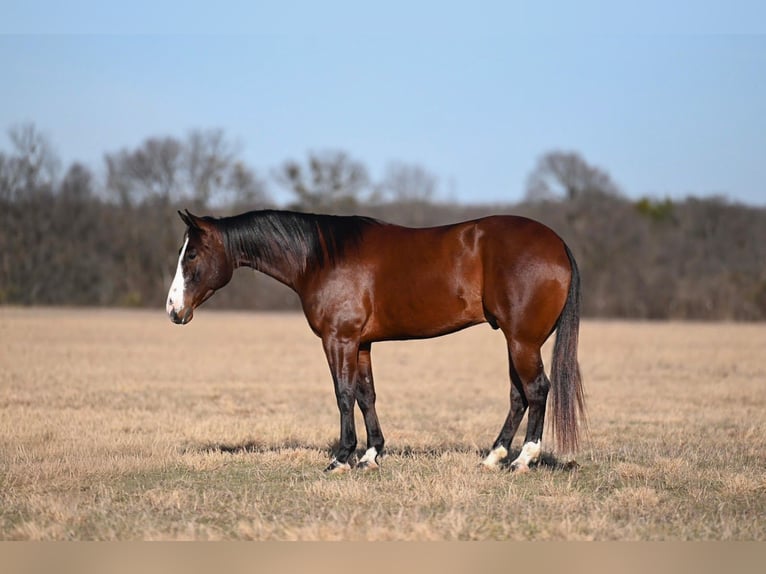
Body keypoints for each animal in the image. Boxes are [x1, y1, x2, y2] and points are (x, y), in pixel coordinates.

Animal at [166, 209, 586, 473]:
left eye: (192, 255)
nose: (173, 309)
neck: (321, 258)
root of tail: (558, 244)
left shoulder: (339, 340)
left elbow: (343, 394)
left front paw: (341, 457)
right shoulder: (362, 344)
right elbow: (366, 395)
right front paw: (371, 454)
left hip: (523, 341)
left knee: (537, 389)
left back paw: (522, 460)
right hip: (516, 342)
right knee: (518, 395)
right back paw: (494, 456)